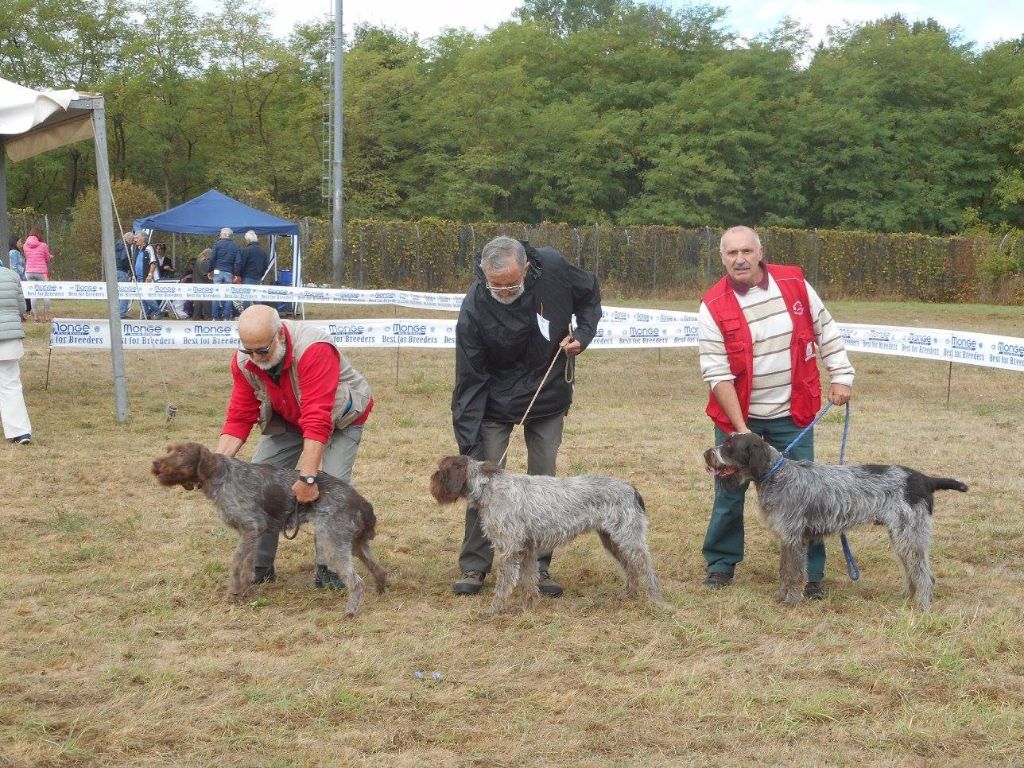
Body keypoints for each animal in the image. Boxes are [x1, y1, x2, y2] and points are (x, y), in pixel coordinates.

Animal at [151, 442, 387, 618]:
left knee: (356, 582)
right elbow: (247, 565)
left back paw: (350, 611)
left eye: (181, 452)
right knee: (378, 569)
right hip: (354, 544)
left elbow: (236, 563)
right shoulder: (251, 534)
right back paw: (381, 590)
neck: (221, 475)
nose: (155, 463)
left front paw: (233, 592)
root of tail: (359, 499)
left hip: (330, 543)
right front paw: (245, 592)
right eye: (168, 449)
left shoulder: (250, 528)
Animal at [425, 456, 659, 614]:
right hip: (613, 540)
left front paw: (494, 610)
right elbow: (529, 580)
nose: (431, 480)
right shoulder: (526, 549)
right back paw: (629, 595)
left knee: (648, 570)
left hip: (629, 539)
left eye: (441, 470)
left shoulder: (509, 549)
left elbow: (504, 585)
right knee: (631, 569)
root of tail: (631, 489)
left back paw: (657, 601)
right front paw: (529, 607)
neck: (489, 487)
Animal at [704, 436, 966, 610]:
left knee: (925, 574)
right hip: (902, 536)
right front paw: (780, 595)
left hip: (909, 536)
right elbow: (784, 571)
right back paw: (906, 597)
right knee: (912, 570)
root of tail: (926, 479)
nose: (706, 453)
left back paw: (923, 606)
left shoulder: (794, 539)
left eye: (729, 447)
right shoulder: (788, 539)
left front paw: (790, 601)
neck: (777, 476)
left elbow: (793, 573)